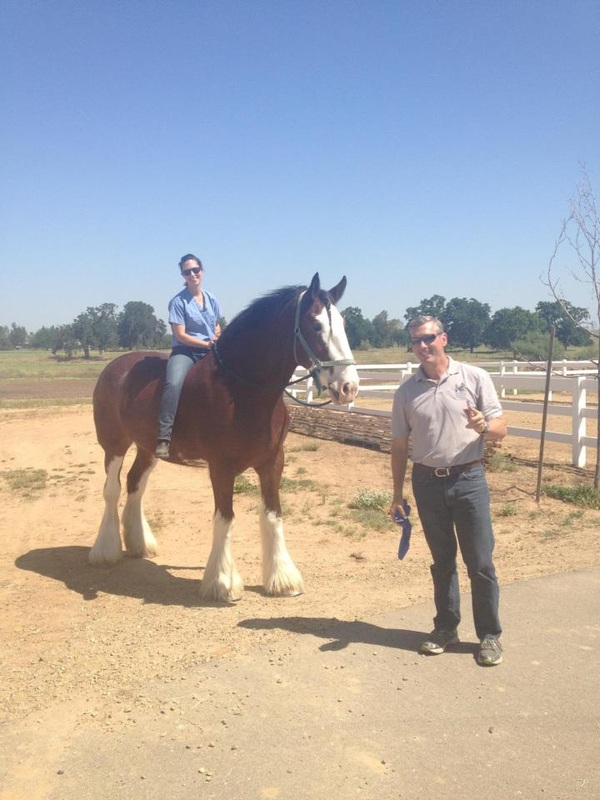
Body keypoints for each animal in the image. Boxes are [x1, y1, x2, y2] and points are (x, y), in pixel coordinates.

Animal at [89, 273, 359, 602]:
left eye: (343, 324)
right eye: (316, 325)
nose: (348, 387)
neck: (240, 389)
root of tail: (115, 367)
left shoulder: (272, 462)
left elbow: (273, 515)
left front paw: (283, 580)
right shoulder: (221, 467)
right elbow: (225, 517)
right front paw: (222, 583)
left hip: (147, 448)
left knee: (135, 484)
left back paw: (140, 544)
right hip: (114, 445)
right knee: (112, 490)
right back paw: (105, 551)